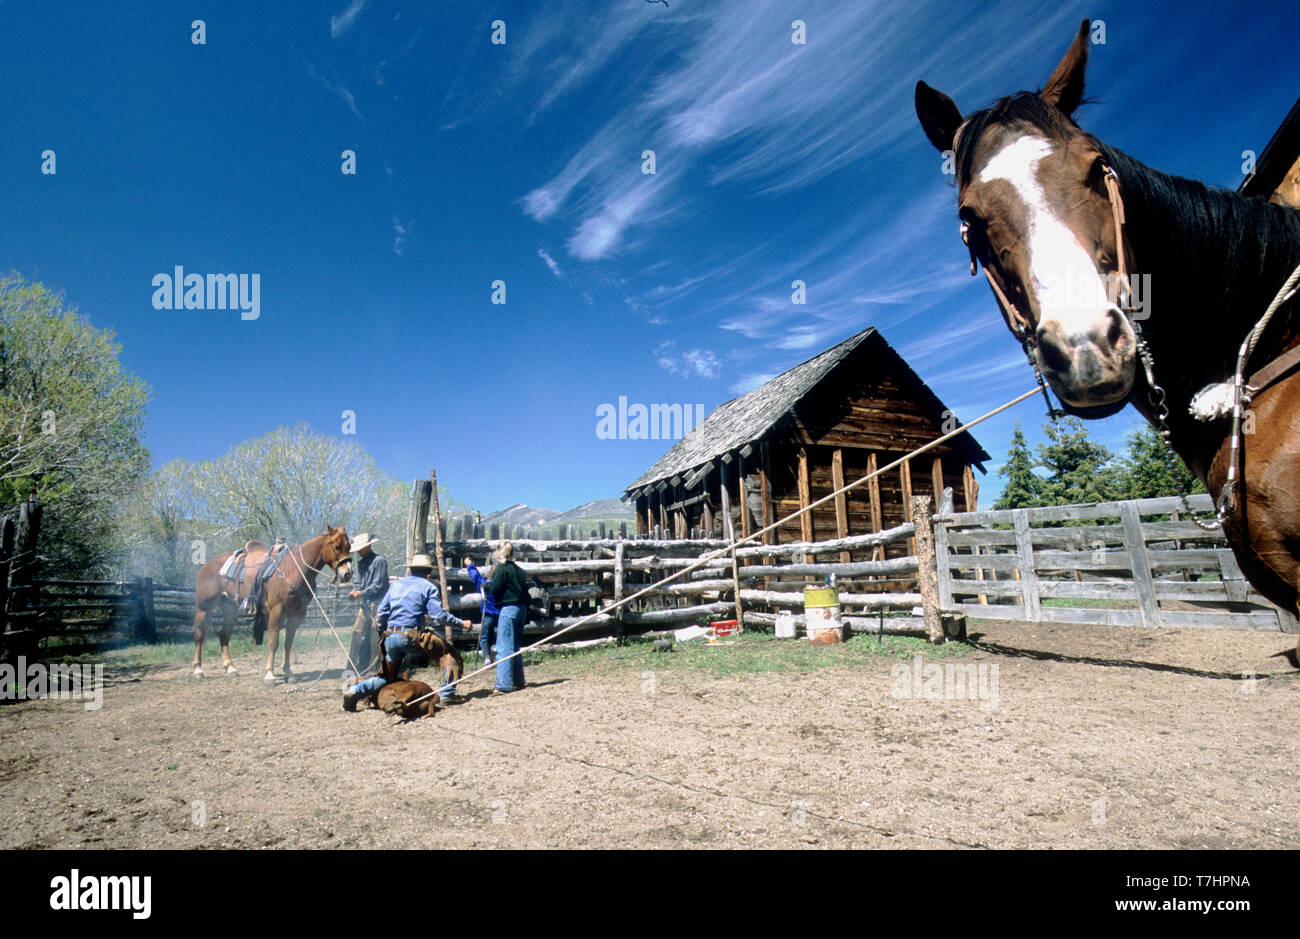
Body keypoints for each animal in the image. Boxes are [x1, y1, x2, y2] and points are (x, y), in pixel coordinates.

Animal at [189, 520, 353, 681]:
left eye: (349, 546)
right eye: (337, 546)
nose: (348, 574)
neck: (294, 568)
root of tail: (208, 565)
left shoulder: (297, 614)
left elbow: (288, 643)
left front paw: (288, 671)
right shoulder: (277, 611)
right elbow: (274, 642)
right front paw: (269, 674)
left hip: (231, 610)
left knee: (224, 635)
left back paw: (230, 668)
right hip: (204, 608)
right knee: (199, 634)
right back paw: (198, 670)